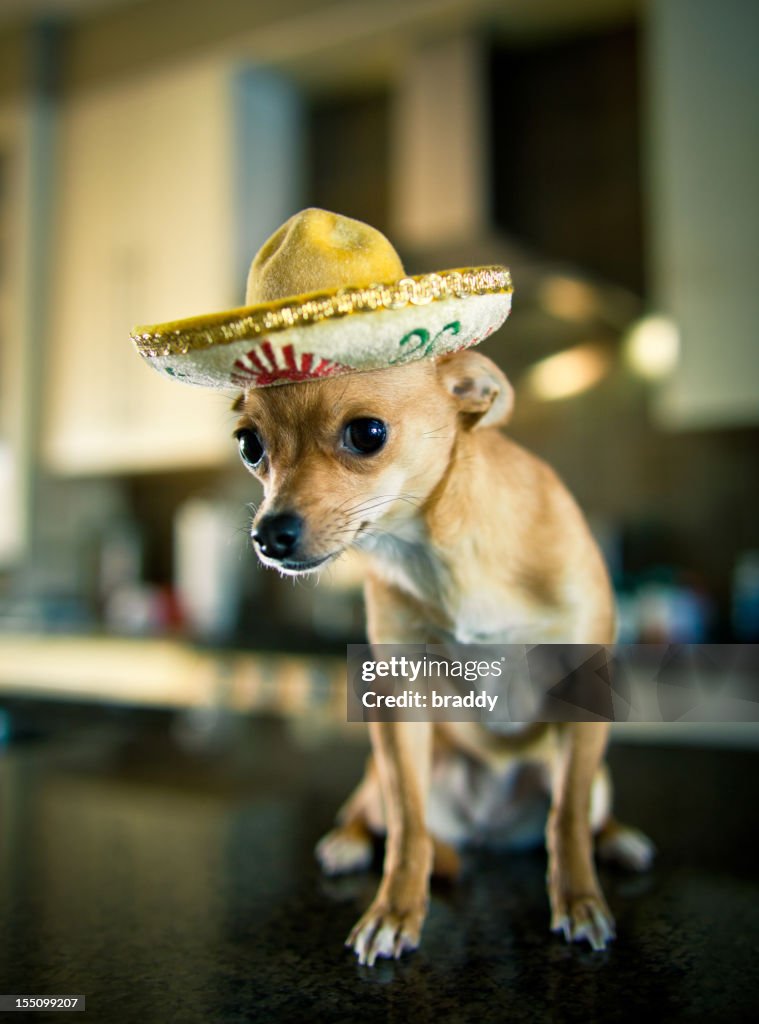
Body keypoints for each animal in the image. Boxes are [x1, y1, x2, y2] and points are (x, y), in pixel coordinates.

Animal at [232, 348, 651, 962]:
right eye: (250, 445)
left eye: (367, 433)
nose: (268, 535)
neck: (437, 551)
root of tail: (487, 830)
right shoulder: (396, 701)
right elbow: (409, 828)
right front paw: (394, 911)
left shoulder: (584, 690)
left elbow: (568, 820)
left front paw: (578, 901)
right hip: (386, 770)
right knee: (375, 811)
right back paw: (347, 842)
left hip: (596, 778)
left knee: (587, 810)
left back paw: (620, 841)